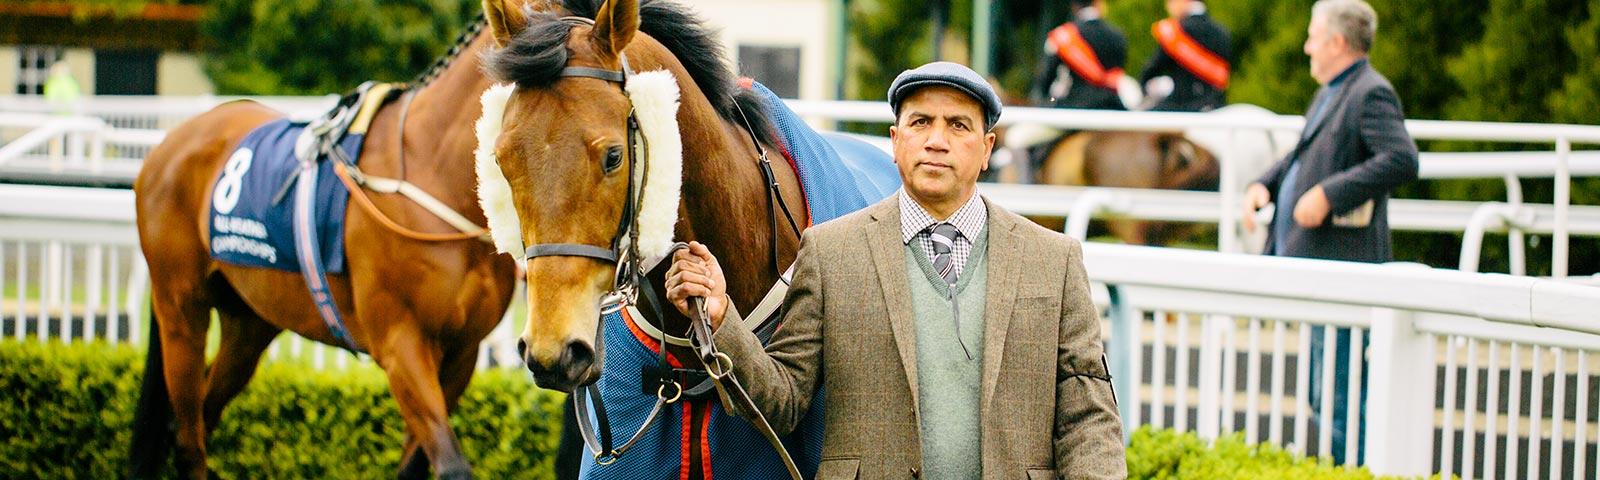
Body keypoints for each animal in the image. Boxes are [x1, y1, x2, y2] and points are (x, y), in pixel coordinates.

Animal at [128, 5, 533, 479]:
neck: (431, 172)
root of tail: (166, 145)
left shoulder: (461, 352)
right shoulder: (401, 343)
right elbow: (451, 463)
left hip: (248, 321)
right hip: (181, 311)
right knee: (188, 435)